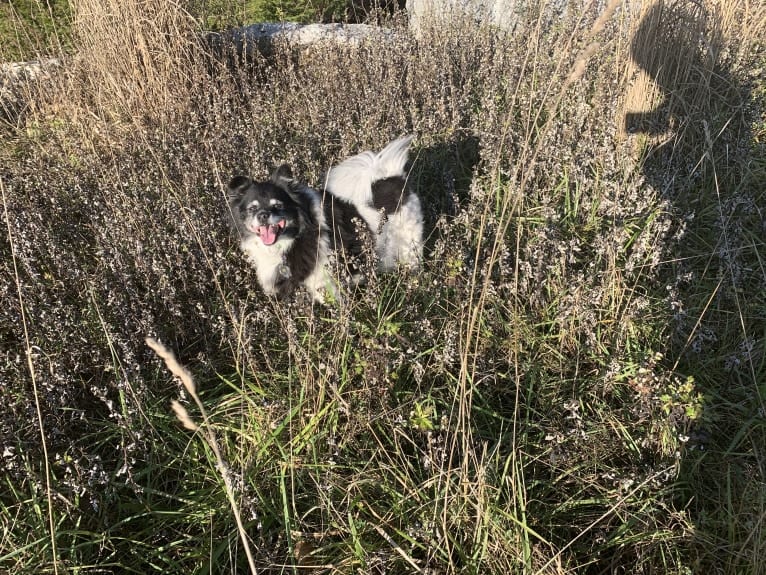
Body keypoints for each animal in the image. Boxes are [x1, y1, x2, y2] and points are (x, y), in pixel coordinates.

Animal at [228, 135, 424, 302]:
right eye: (252, 208)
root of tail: (393, 178)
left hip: (407, 248)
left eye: (278, 205)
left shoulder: (327, 282)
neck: (294, 239)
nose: (262, 215)